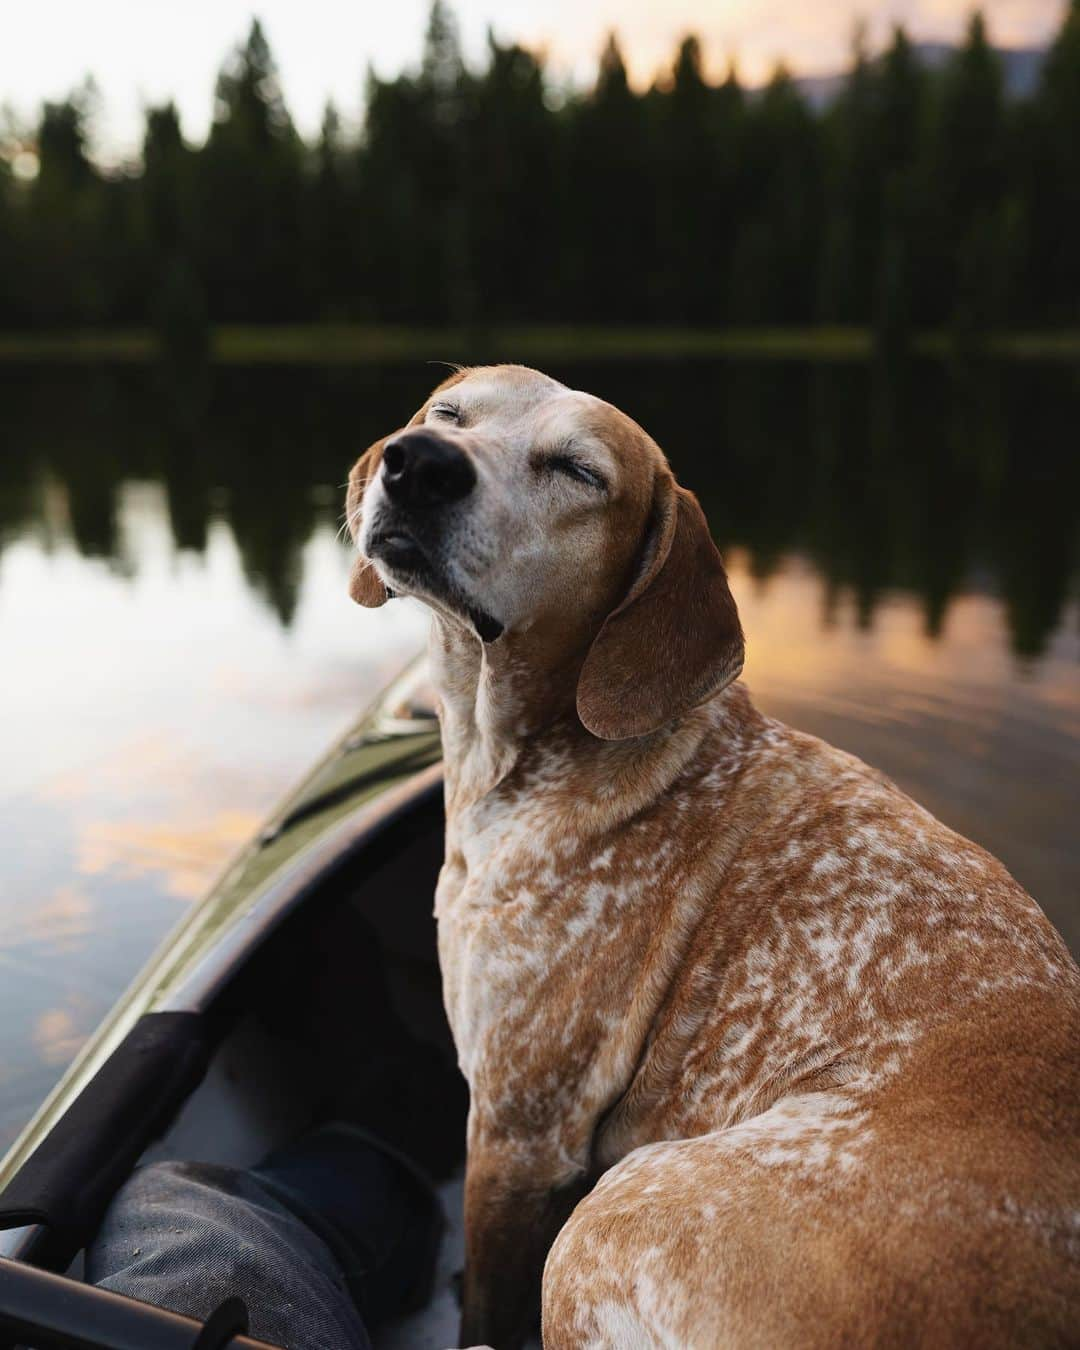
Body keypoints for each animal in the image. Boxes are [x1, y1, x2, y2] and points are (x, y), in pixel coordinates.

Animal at [348, 364, 1080, 1344]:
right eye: (447, 414)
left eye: (579, 472)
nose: (420, 462)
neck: (529, 754)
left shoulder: (515, 1135)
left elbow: (484, 1307)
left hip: (615, 1213)